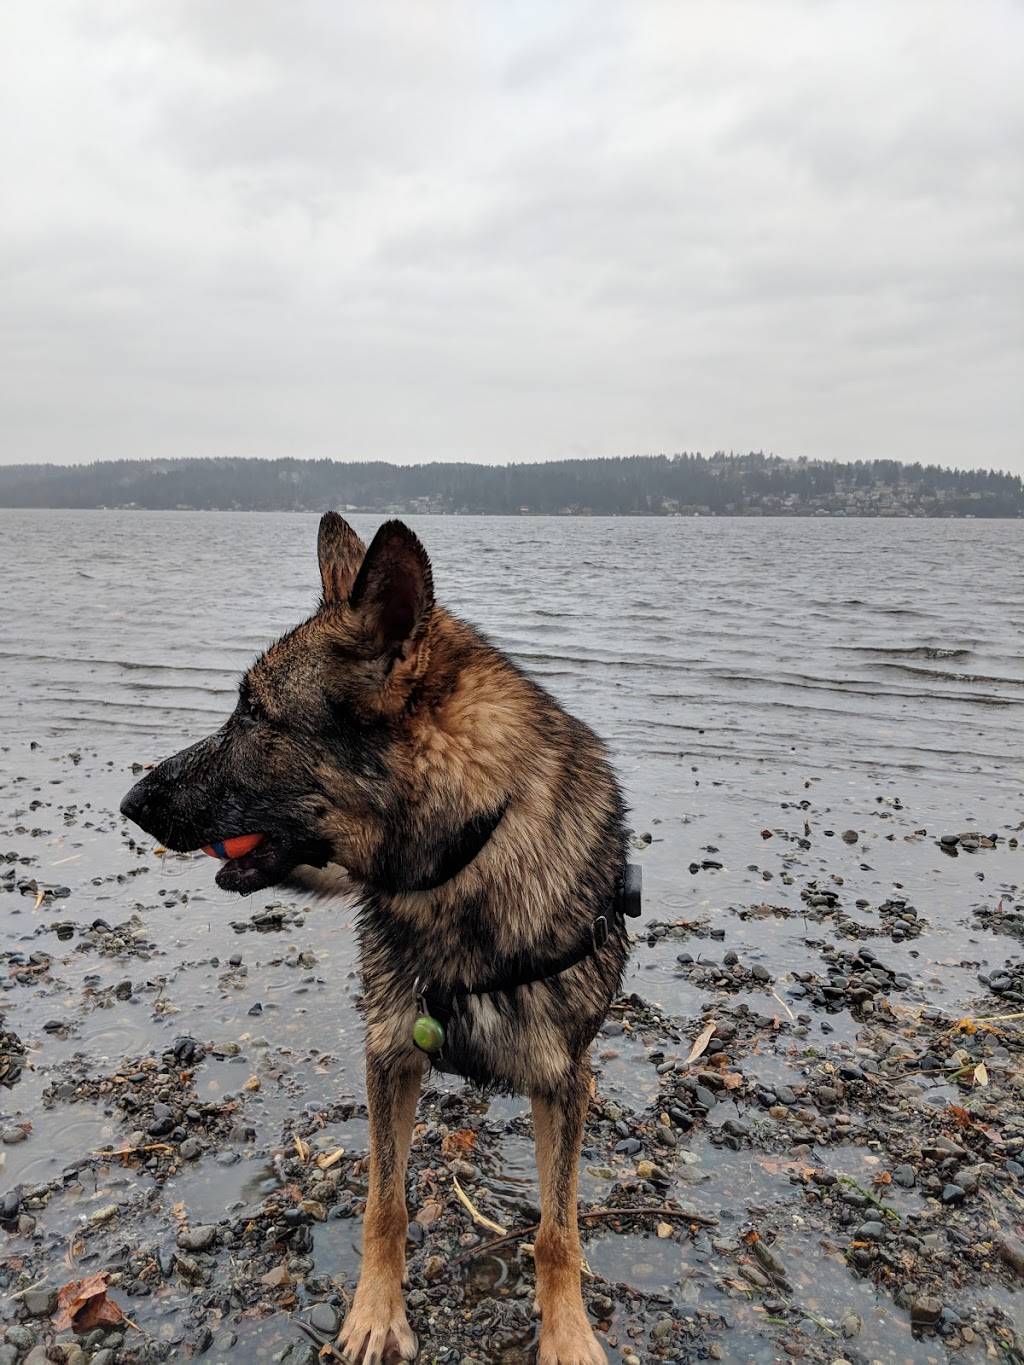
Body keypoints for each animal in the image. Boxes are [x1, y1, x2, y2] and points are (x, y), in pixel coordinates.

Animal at [121, 513, 633, 1365]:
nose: (130, 801)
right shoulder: (389, 1056)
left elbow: (557, 1228)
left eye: (254, 714)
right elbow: (383, 1203)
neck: (464, 855)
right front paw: (375, 1311)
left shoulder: (565, 1079)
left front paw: (567, 1331)